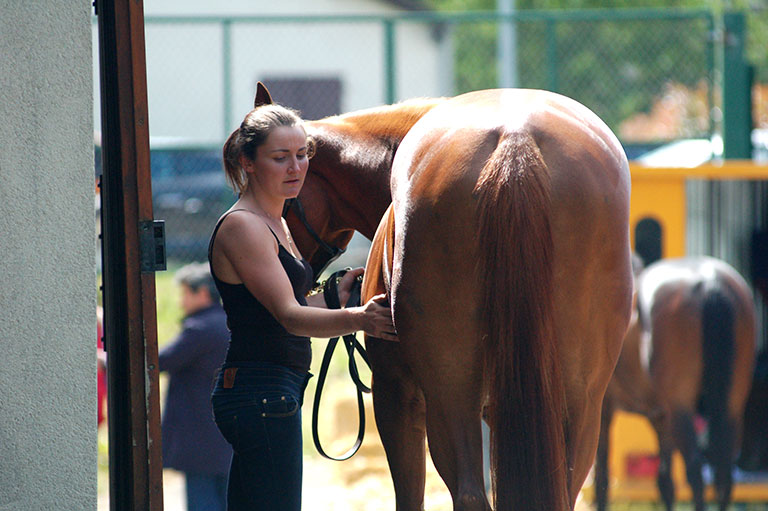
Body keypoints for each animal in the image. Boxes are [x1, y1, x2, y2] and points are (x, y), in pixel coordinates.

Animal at [595, 256, 756, 511]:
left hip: (680, 404)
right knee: (723, 472)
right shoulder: (660, 416)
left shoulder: (604, 408)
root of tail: (709, 282)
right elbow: (665, 481)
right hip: (732, 403)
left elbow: (602, 477)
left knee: (695, 469)